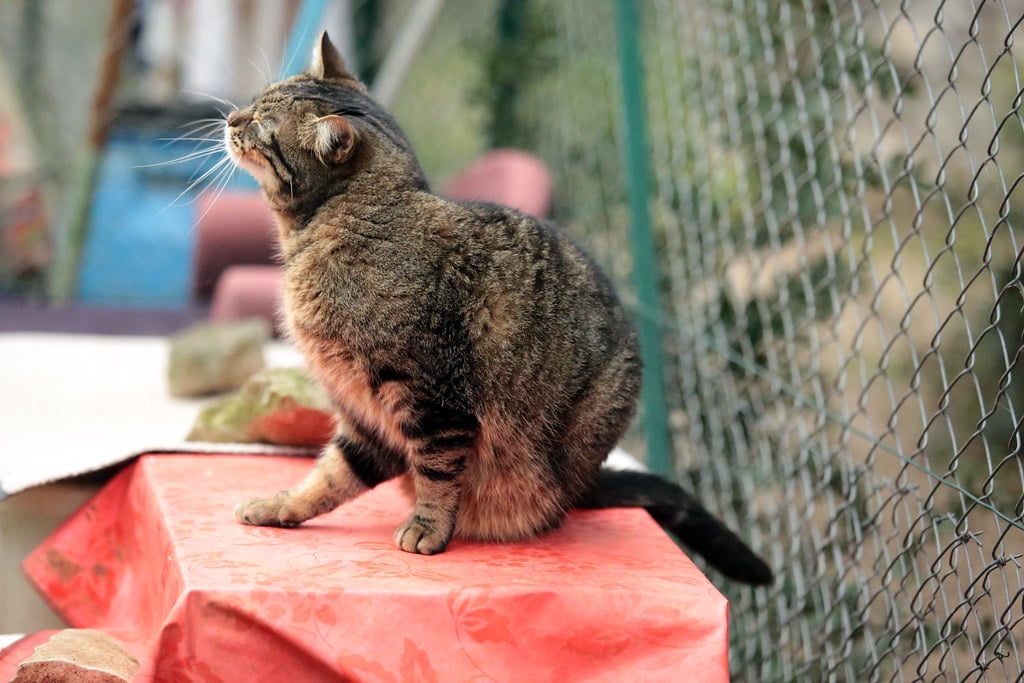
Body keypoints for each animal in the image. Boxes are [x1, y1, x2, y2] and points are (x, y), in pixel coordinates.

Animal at [224, 31, 770, 585]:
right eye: (255, 101)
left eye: (263, 126)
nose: (231, 118)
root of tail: (587, 482)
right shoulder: (366, 417)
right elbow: (332, 476)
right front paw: (282, 505)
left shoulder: (432, 397)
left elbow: (437, 473)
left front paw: (427, 527)